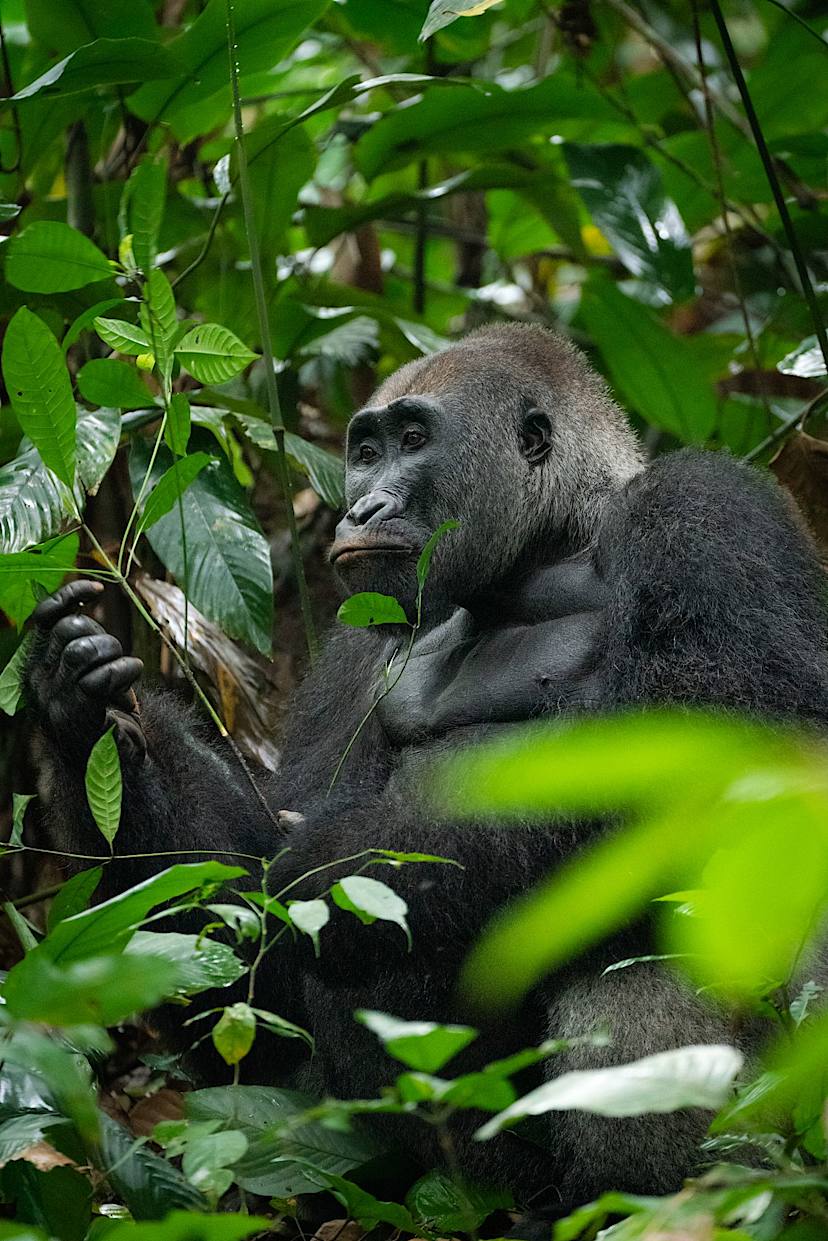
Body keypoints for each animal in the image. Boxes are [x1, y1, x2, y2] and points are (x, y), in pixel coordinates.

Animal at [23, 324, 828, 1223]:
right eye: (366, 451)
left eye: (413, 439)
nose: (362, 507)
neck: (550, 550)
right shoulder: (363, 628)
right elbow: (249, 912)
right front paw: (78, 706)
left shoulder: (705, 506)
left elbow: (717, 746)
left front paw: (333, 865)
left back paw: (638, 1201)